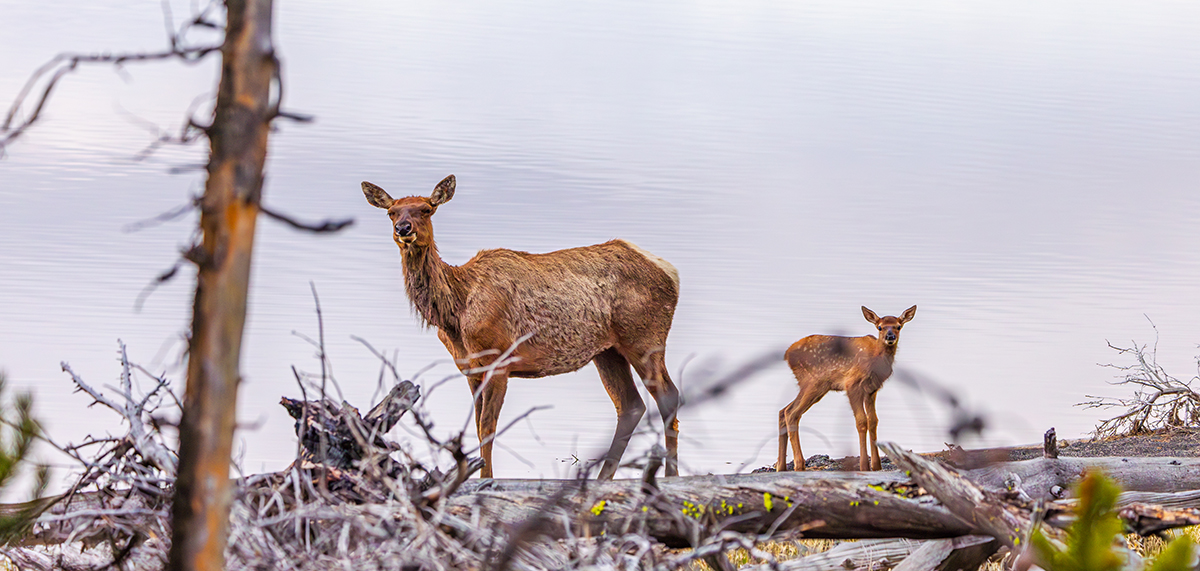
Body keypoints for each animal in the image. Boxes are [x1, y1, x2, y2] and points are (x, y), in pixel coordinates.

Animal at [361, 175, 682, 480]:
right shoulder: (469, 368)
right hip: (607, 351)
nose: (403, 228)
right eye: (391, 212)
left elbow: (488, 427)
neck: (455, 313)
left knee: (668, 395)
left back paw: (670, 474)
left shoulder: (498, 360)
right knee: (630, 405)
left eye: (427, 209)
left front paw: (484, 477)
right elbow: (476, 426)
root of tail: (671, 272)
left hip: (645, 338)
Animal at [777, 305, 917, 472]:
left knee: (783, 410)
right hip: (814, 382)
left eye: (898, 326)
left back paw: (781, 466)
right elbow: (861, 421)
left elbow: (873, 420)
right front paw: (864, 466)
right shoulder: (852, 384)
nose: (890, 336)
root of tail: (787, 354)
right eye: (880, 327)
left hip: (814, 386)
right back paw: (799, 464)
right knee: (792, 413)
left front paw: (876, 466)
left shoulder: (872, 389)